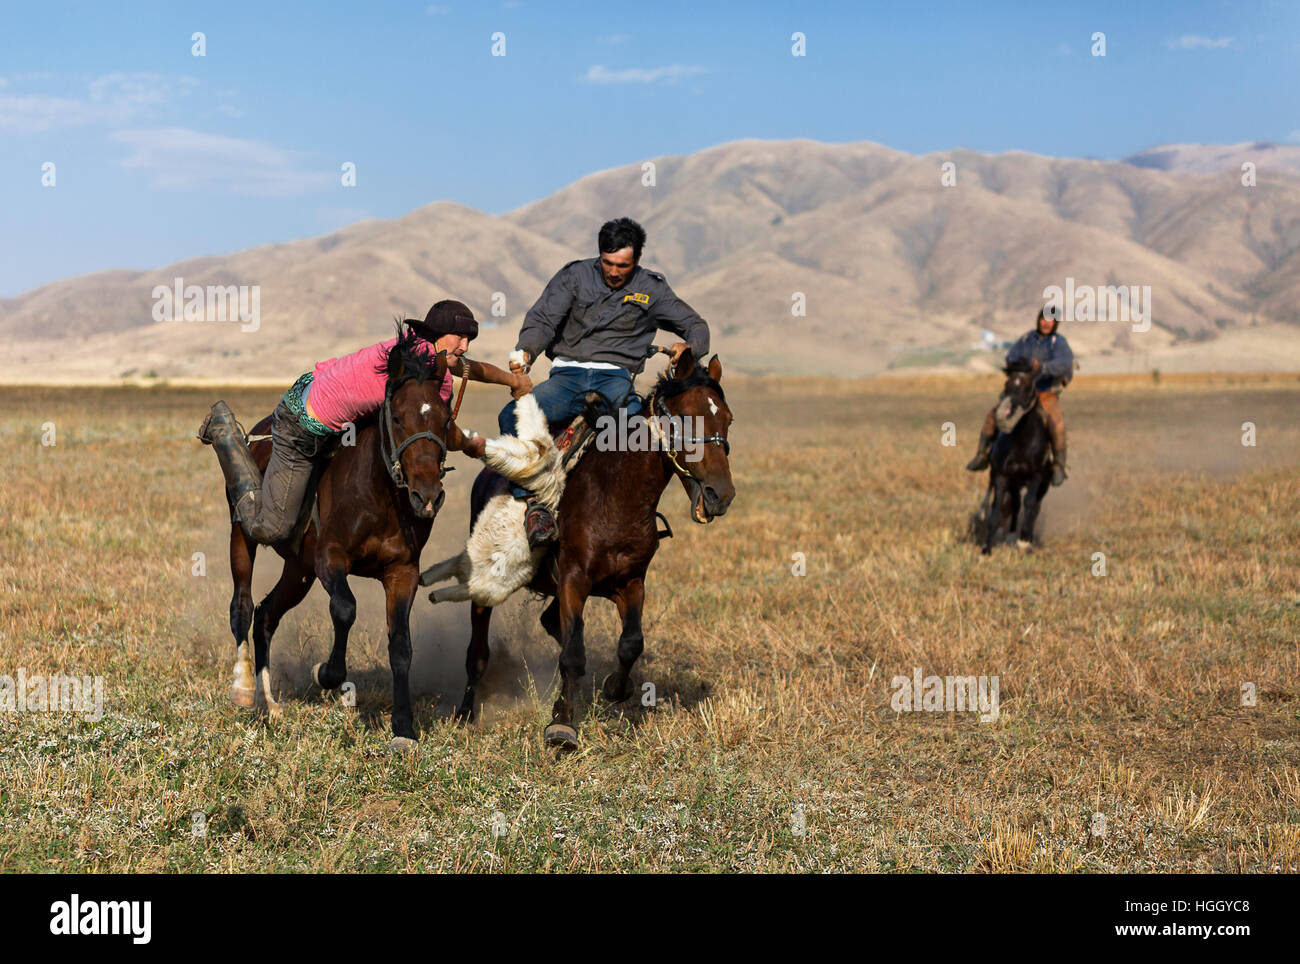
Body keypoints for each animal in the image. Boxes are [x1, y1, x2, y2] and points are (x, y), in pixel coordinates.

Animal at [226, 335, 470, 753]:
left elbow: (401, 645)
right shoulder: (330, 558)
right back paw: (244, 691)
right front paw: (327, 673)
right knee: (242, 605)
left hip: (299, 570)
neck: (379, 493)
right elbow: (345, 609)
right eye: (398, 417)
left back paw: (270, 705)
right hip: (249, 535)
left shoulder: (402, 572)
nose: (427, 497)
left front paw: (403, 728)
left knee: (266, 613)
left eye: (445, 420)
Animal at [436, 350, 738, 753]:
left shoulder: (631, 582)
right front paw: (562, 725)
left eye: (727, 418)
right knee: (479, 653)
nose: (721, 494)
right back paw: (467, 712)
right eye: (686, 416)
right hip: (486, 582)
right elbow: (573, 655)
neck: (615, 494)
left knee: (551, 623)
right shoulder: (573, 580)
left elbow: (630, 643)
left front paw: (614, 688)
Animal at [977, 361, 1050, 558]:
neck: (1021, 441)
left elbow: (1030, 504)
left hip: (1043, 484)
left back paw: (1028, 538)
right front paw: (986, 549)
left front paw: (1023, 542)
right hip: (1014, 482)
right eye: (1006, 384)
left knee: (1035, 507)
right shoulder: (1002, 476)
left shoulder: (1036, 477)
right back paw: (1010, 535)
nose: (1003, 413)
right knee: (1016, 504)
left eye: (1027, 387)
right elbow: (995, 511)